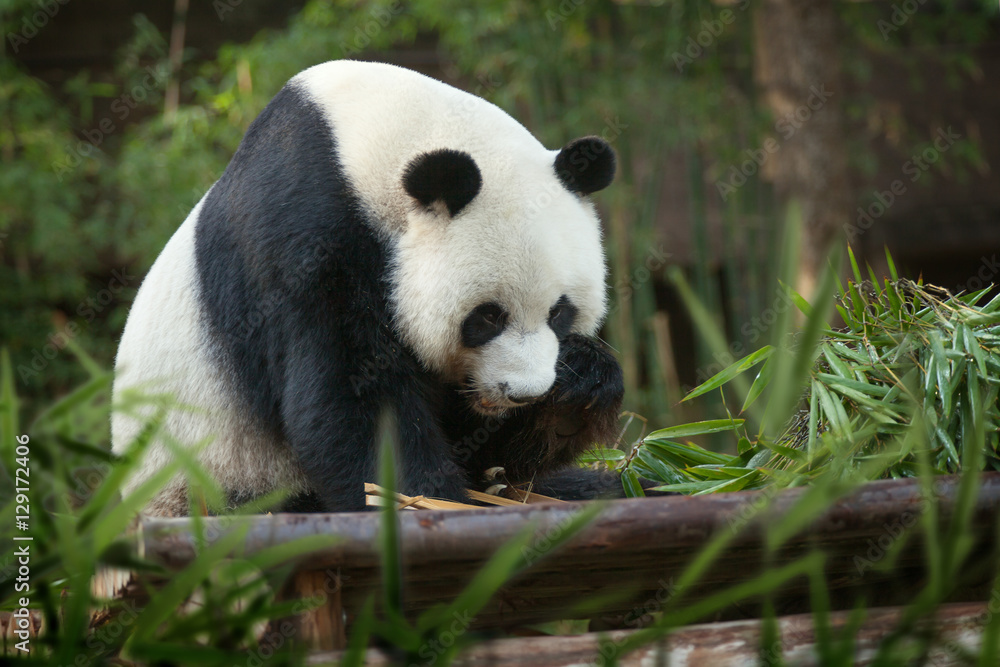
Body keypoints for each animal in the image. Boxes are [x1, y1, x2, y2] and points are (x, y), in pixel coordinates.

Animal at [111, 60, 630, 516]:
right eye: (487, 317)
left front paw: (579, 388)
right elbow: (353, 398)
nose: (523, 393)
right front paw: (424, 498)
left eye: (559, 313)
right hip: (216, 478)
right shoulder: (304, 236)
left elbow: (486, 452)